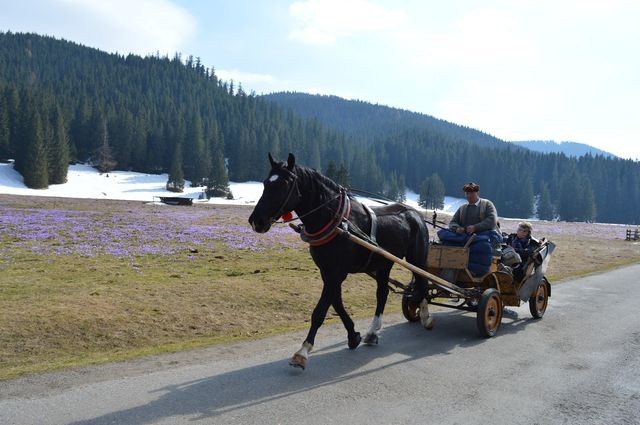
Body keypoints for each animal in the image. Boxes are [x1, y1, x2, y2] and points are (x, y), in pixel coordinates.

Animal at [248, 152, 432, 368]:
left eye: (284, 184)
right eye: (265, 183)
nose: (256, 221)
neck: (336, 220)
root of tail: (415, 214)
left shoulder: (336, 273)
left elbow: (320, 311)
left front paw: (303, 351)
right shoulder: (327, 271)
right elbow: (336, 302)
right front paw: (353, 335)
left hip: (416, 259)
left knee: (422, 284)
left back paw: (425, 316)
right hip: (384, 263)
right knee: (383, 293)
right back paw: (373, 331)